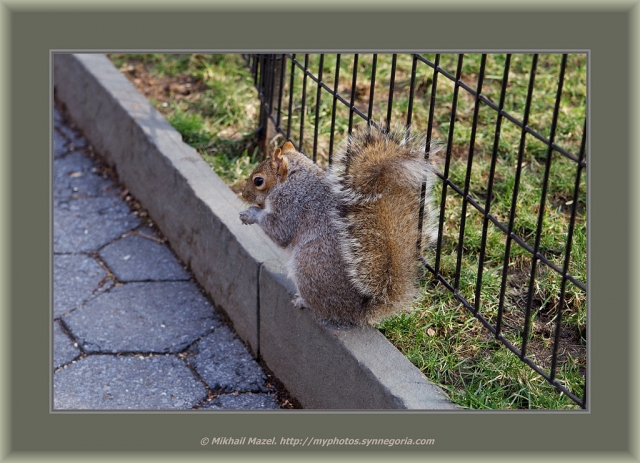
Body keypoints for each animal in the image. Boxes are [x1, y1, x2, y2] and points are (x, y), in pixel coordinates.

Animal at [240, 121, 440, 328]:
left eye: (258, 181)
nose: (243, 193)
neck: (291, 179)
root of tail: (357, 313)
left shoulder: (291, 205)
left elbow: (279, 231)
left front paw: (251, 214)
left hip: (310, 265)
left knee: (324, 310)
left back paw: (303, 301)